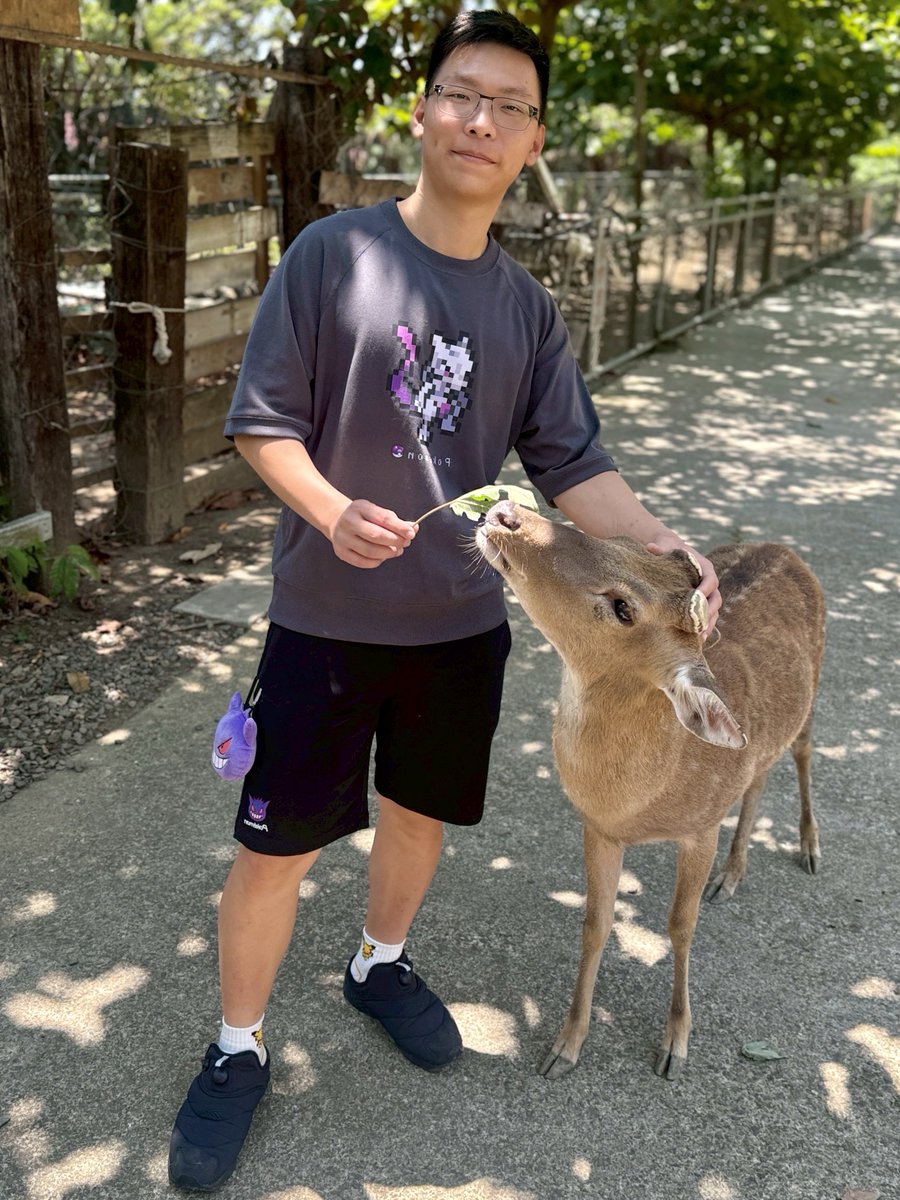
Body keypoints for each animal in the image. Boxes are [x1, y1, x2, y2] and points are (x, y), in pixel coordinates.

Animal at [476, 501, 826, 1081]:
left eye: (622, 608)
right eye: (618, 539)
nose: (506, 512)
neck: (644, 800)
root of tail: (784, 548)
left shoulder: (701, 827)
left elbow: (681, 925)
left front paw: (675, 1044)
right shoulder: (599, 829)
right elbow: (595, 923)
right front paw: (564, 1047)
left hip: (815, 689)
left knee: (801, 752)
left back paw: (810, 848)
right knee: (758, 775)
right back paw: (731, 875)